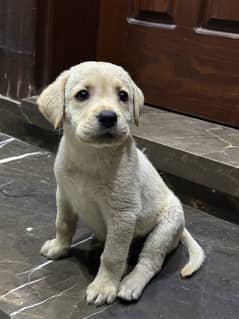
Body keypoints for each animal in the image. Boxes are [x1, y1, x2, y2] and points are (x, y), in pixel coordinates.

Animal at [38, 61, 204, 306]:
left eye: (123, 96)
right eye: (82, 95)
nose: (108, 117)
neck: (91, 157)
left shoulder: (122, 214)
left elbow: (112, 256)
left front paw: (104, 286)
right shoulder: (65, 196)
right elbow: (63, 224)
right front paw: (59, 248)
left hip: (163, 231)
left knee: (150, 261)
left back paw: (131, 283)